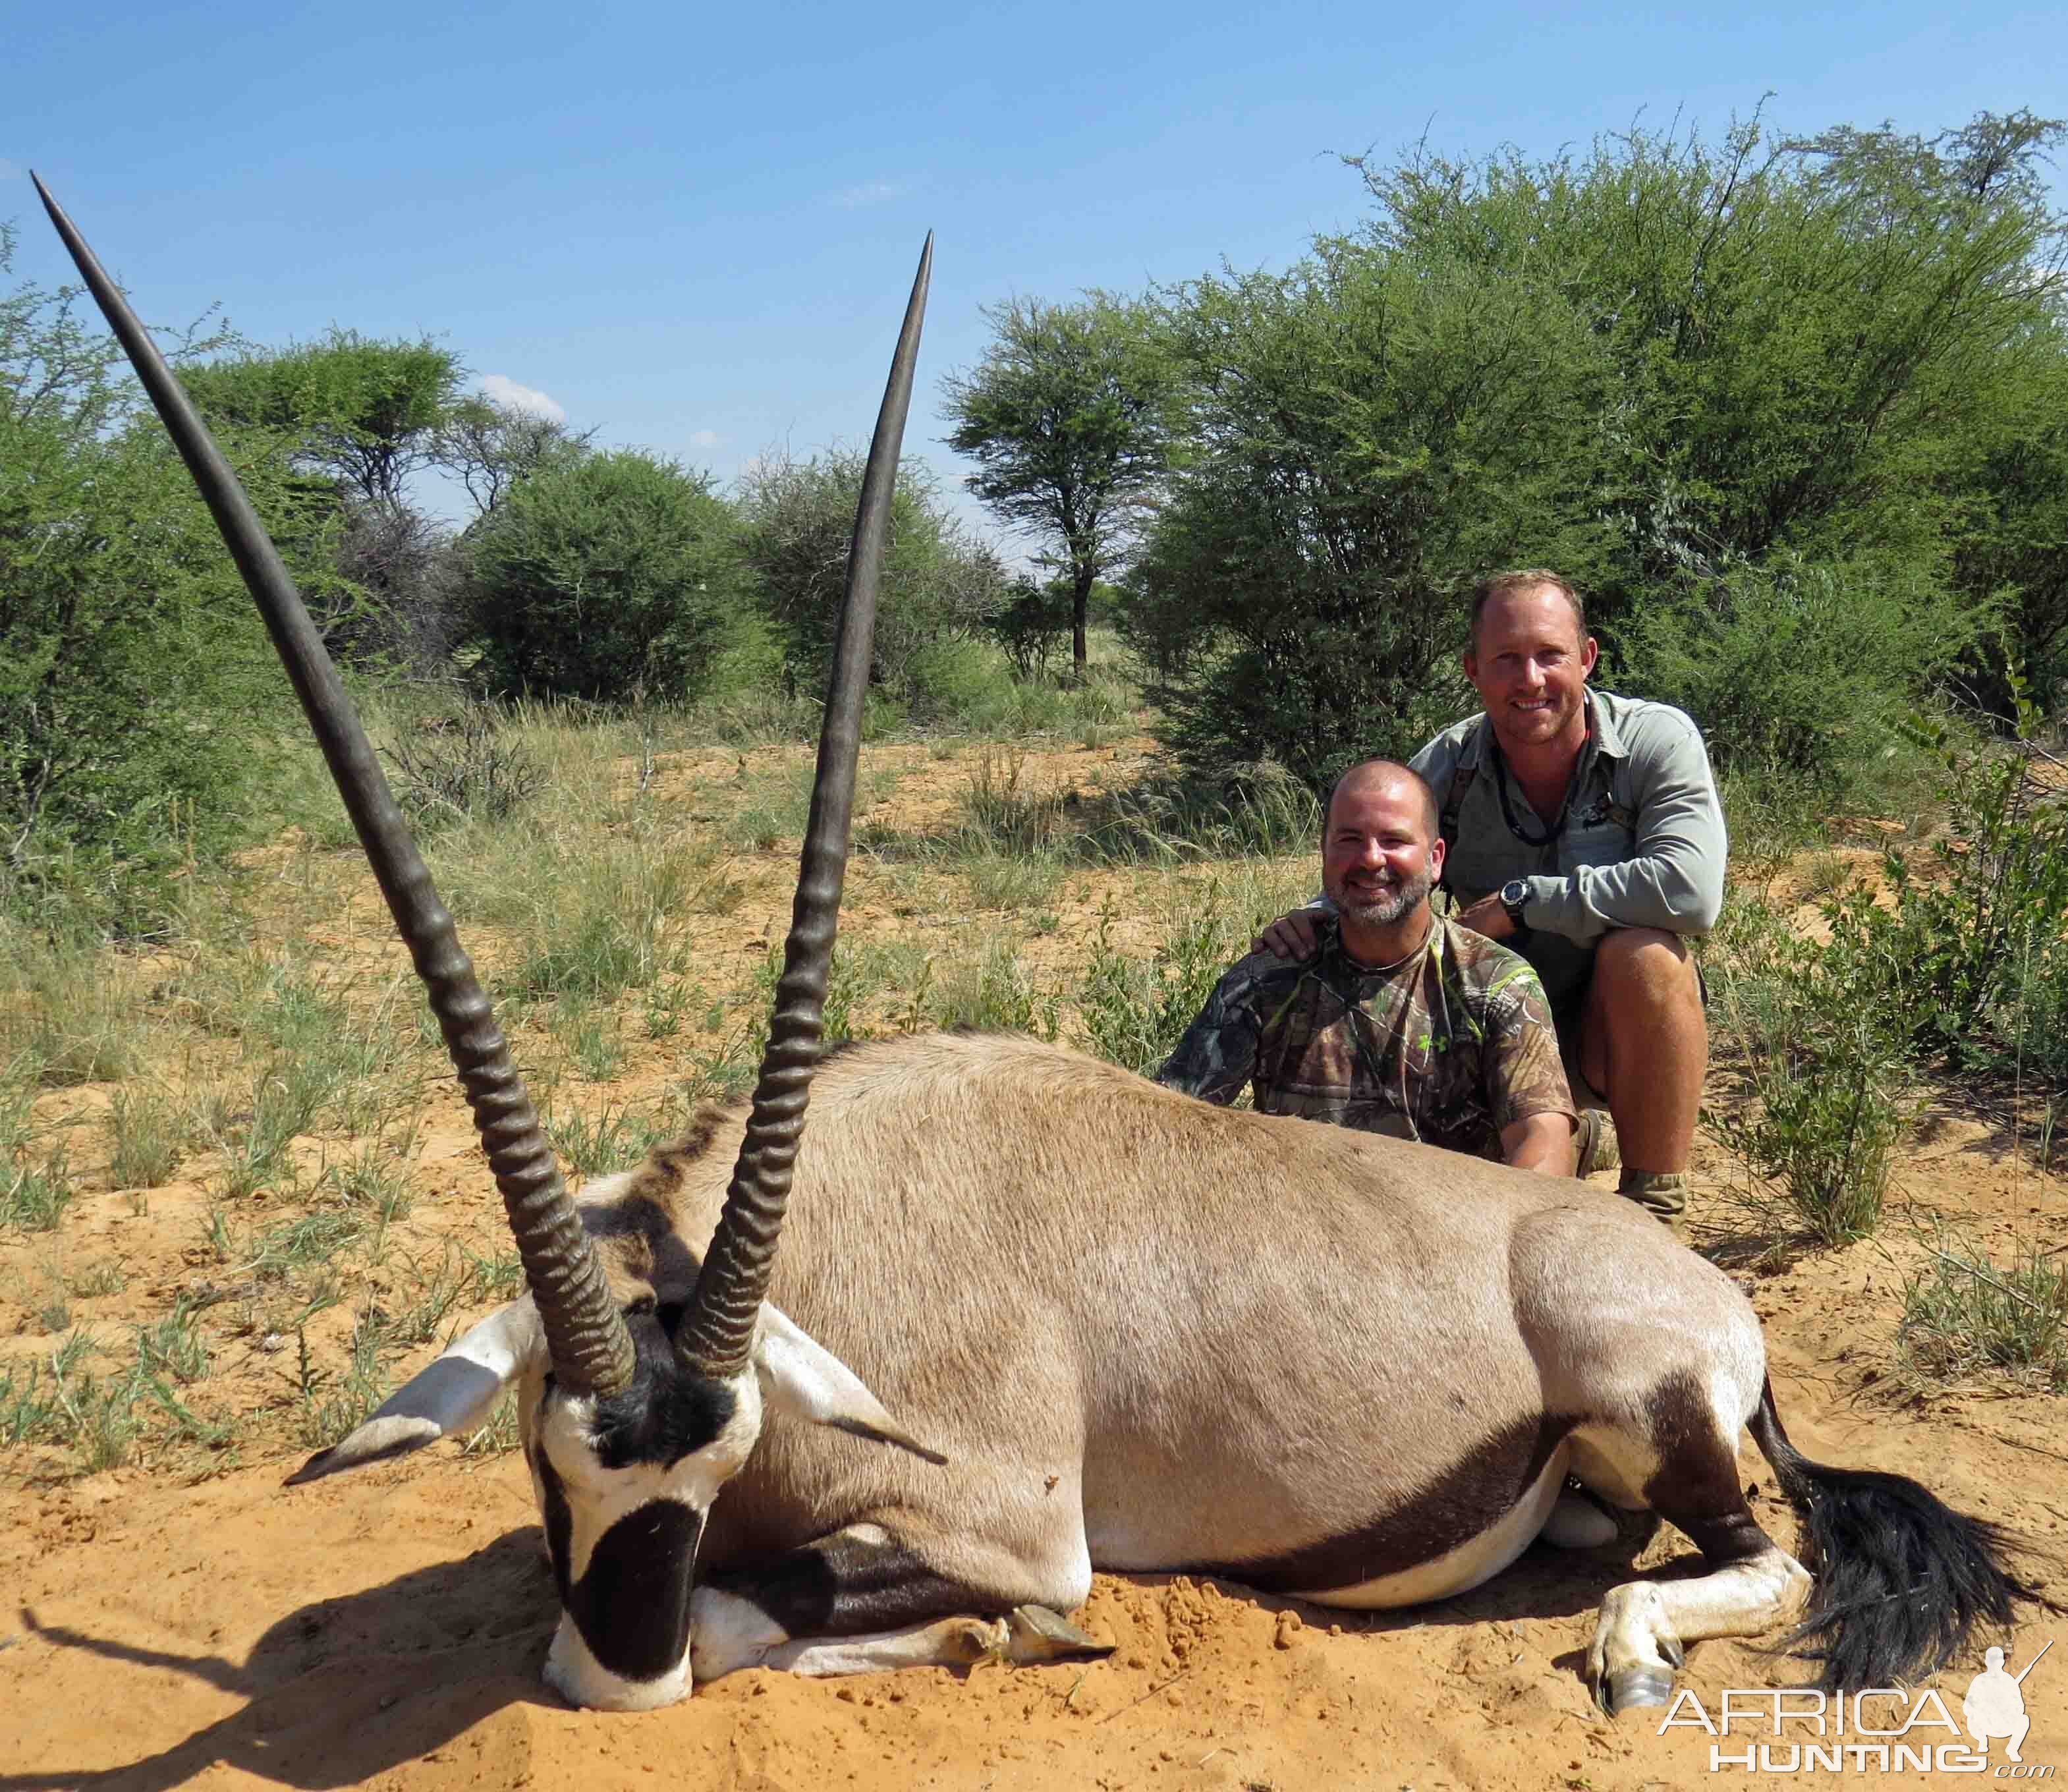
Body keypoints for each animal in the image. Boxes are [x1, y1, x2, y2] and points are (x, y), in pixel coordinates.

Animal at [40, 179, 2043, 1727]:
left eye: (714, 1450)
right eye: (546, 1438)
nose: (619, 1680)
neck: (827, 1229)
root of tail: (1701, 1290)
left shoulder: (1016, 1521)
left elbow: (798, 1604)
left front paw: (941, 1642)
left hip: (1657, 1407)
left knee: (1756, 1553)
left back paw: (1629, 1658)